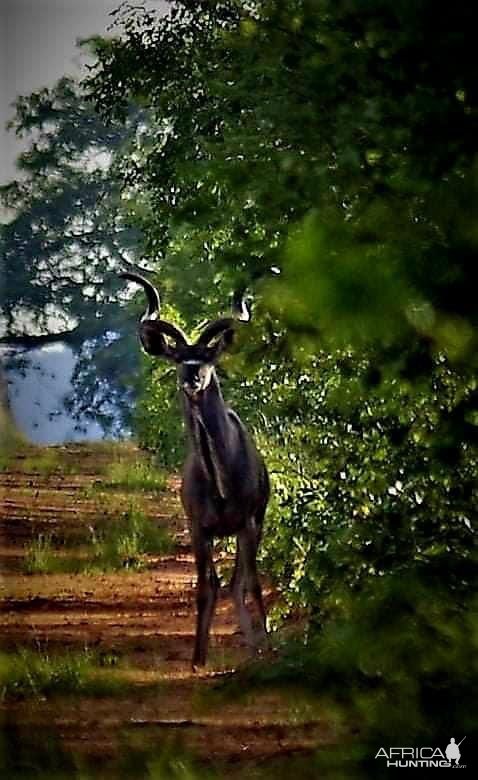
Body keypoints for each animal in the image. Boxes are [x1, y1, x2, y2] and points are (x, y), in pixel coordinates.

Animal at [121, 272, 270, 664]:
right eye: (178, 358)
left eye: (206, 358)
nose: (191, 378)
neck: (221, 481)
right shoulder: (198, 529)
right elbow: (206, 587)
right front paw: (198, 659)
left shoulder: (248, 522)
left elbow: (252, 583)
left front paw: (268, 645)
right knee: (225, 583)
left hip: (253, 525)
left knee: (240, 582)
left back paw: (257, 643)